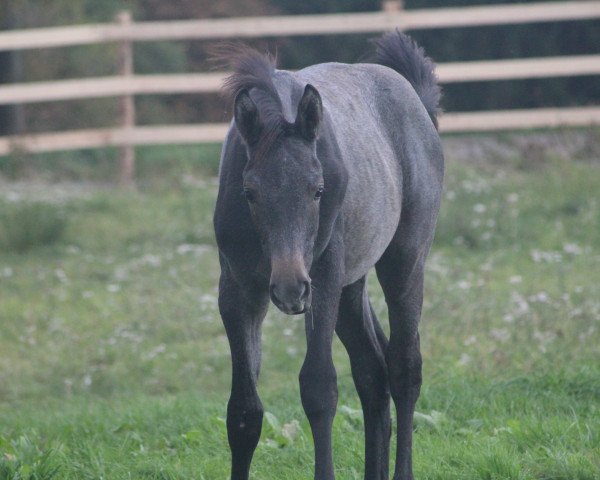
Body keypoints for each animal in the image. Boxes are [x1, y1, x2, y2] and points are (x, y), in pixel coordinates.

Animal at [213, 31, 442, 480]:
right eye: (249, 192)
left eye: (318, 189)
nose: (288, 288)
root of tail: (417, 102)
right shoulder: (238, 293)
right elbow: (244, 412)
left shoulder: (322, 280)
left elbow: (319, 388)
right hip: (351, 285)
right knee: (373, 371)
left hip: (403, 262)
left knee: (404, 367)